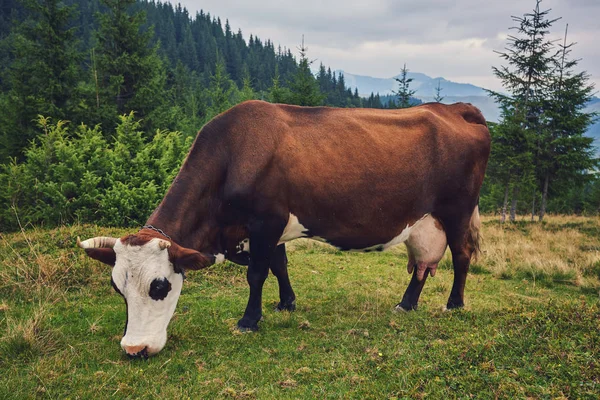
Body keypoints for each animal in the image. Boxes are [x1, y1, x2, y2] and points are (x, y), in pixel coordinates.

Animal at [77, 100, 490, 356]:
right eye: (117, 288)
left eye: (160, 286)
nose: (134, 349)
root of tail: (454, 108)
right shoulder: (266, 227)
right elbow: (279, 265)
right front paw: (286, 303)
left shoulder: (266, 220)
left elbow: (258, 273)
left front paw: (249, 320)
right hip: (423, 221)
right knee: (421, 264)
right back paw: (406, 304)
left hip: (457, 210)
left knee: (462, 255)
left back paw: (454, 304)